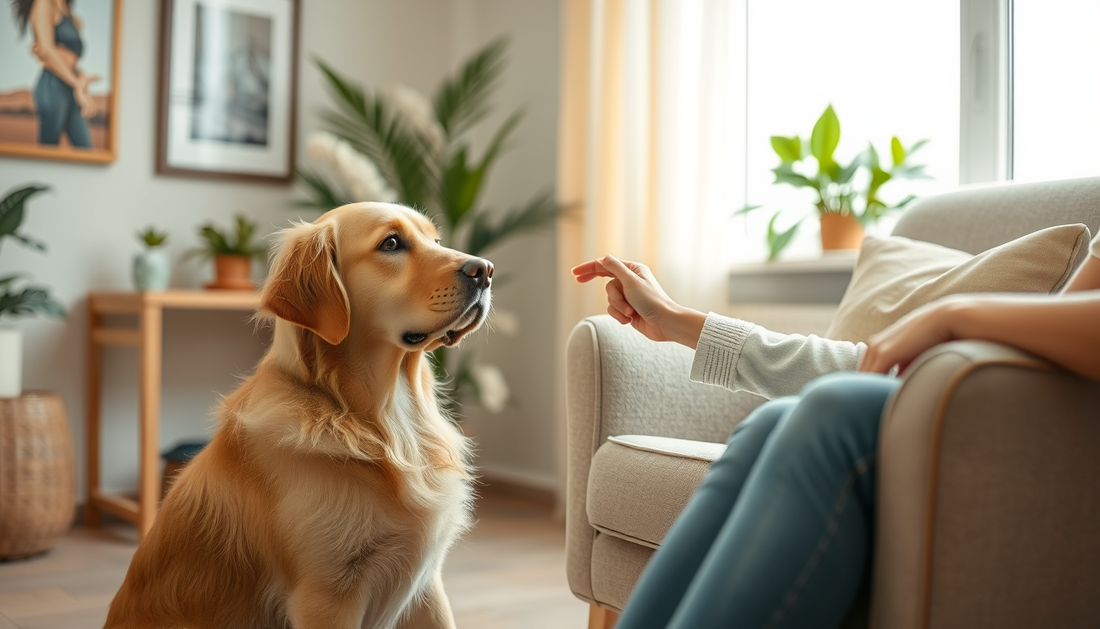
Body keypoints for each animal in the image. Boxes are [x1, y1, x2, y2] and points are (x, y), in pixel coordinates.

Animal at [103, 202, 495, 629]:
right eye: (391, 243)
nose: (485, 270)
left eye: (436, 240)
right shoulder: (327, 596)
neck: (386, 423)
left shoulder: (427, 587)